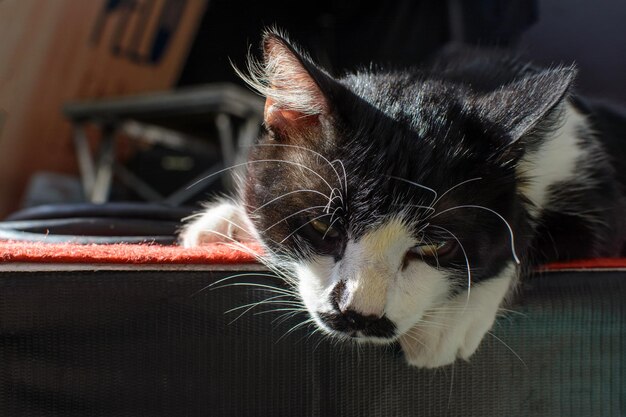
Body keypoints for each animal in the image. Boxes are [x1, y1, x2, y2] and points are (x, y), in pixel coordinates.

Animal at [177, 29, 624, 368]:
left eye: (436, 245)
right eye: (324, 225)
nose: (358, 315)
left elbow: (527, 234)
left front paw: (450, 320)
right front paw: (225, 221)